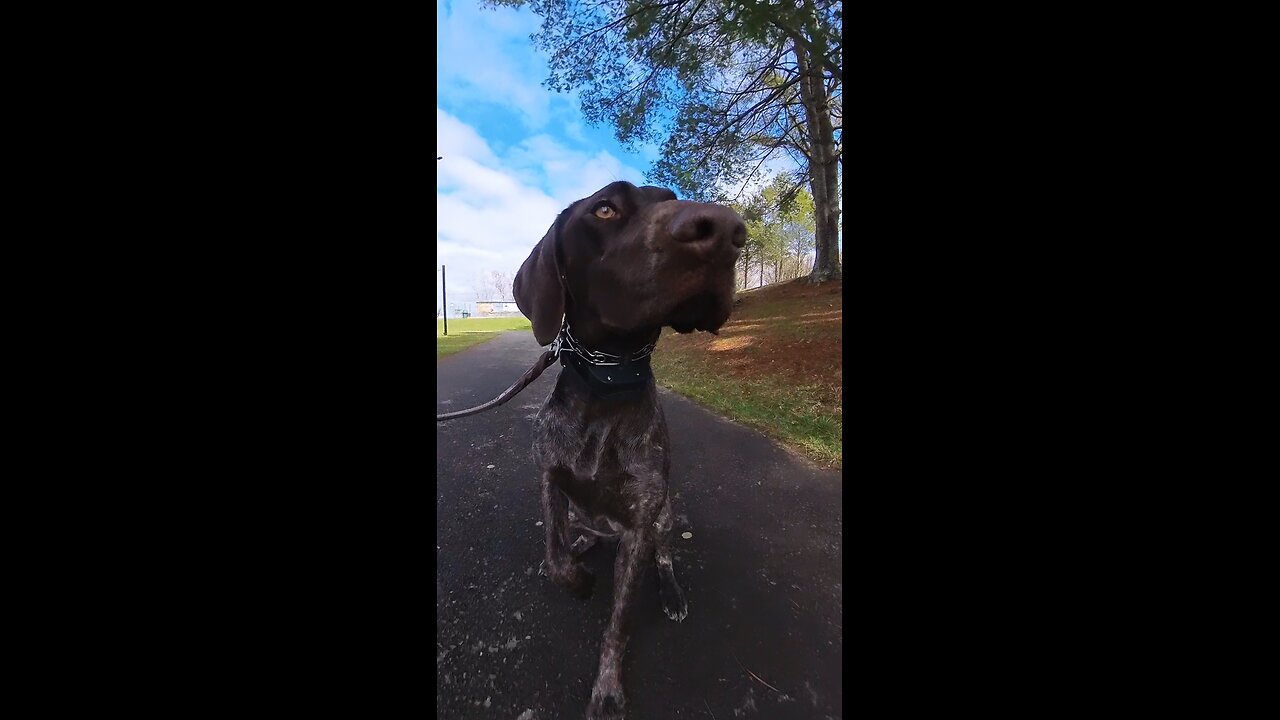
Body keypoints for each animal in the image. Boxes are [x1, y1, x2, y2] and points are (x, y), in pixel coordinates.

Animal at [512, 180, 747, 717]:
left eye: (671, 197)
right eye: (605, 209)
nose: (727, 230)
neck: (608, 383)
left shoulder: (641, 523)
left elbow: (618, 623)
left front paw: (608, 689)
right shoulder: (549, 478)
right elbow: (555, 559)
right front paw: (577, 578)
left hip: (663, 518)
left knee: (664, 558)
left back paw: (671, 593)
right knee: (578, 537)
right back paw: (583, 543)